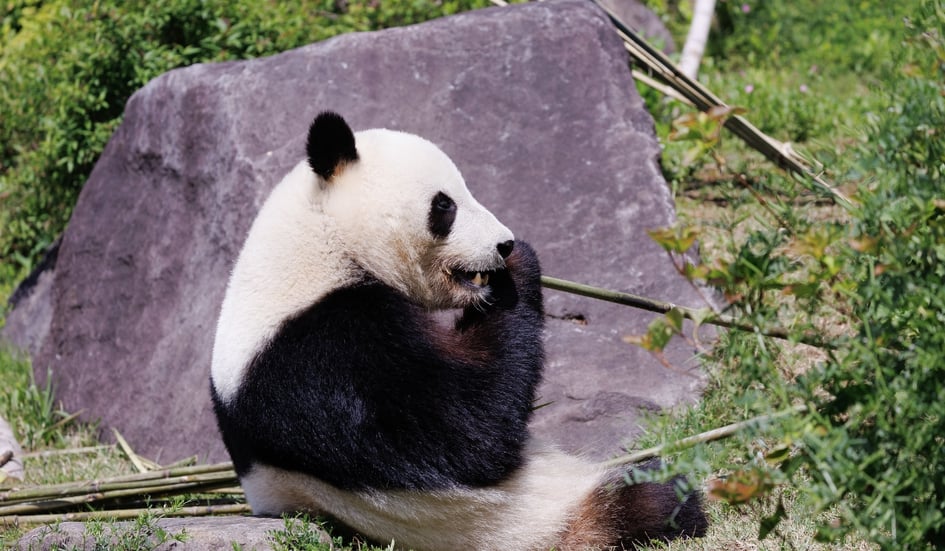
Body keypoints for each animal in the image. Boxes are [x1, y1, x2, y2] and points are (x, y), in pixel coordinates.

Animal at [210, 111, 707, 550]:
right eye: (444, 204)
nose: (503, 243)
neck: (319, 245)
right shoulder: (319, 355)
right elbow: (466, 434)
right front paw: (516, 269)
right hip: (534, 518)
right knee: (646, 497)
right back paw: (673, 503)